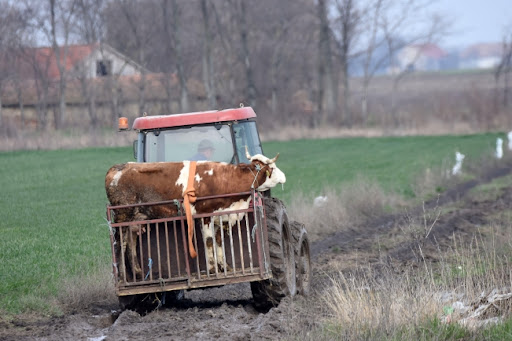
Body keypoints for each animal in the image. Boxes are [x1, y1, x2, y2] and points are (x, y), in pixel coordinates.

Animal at [105, 151, 286, 276]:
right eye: (272, 168)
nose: (284, 176)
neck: (223, 179)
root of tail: (117, 168)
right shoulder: (204, 215)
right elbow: (209, 241)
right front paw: (212, 269)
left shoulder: (219, 216)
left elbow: (218, 241)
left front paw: (224, 267)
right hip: (122, 215)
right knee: (120, 242)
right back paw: (122, 273)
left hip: (136, 218)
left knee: (131, 240)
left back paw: (136, 271)